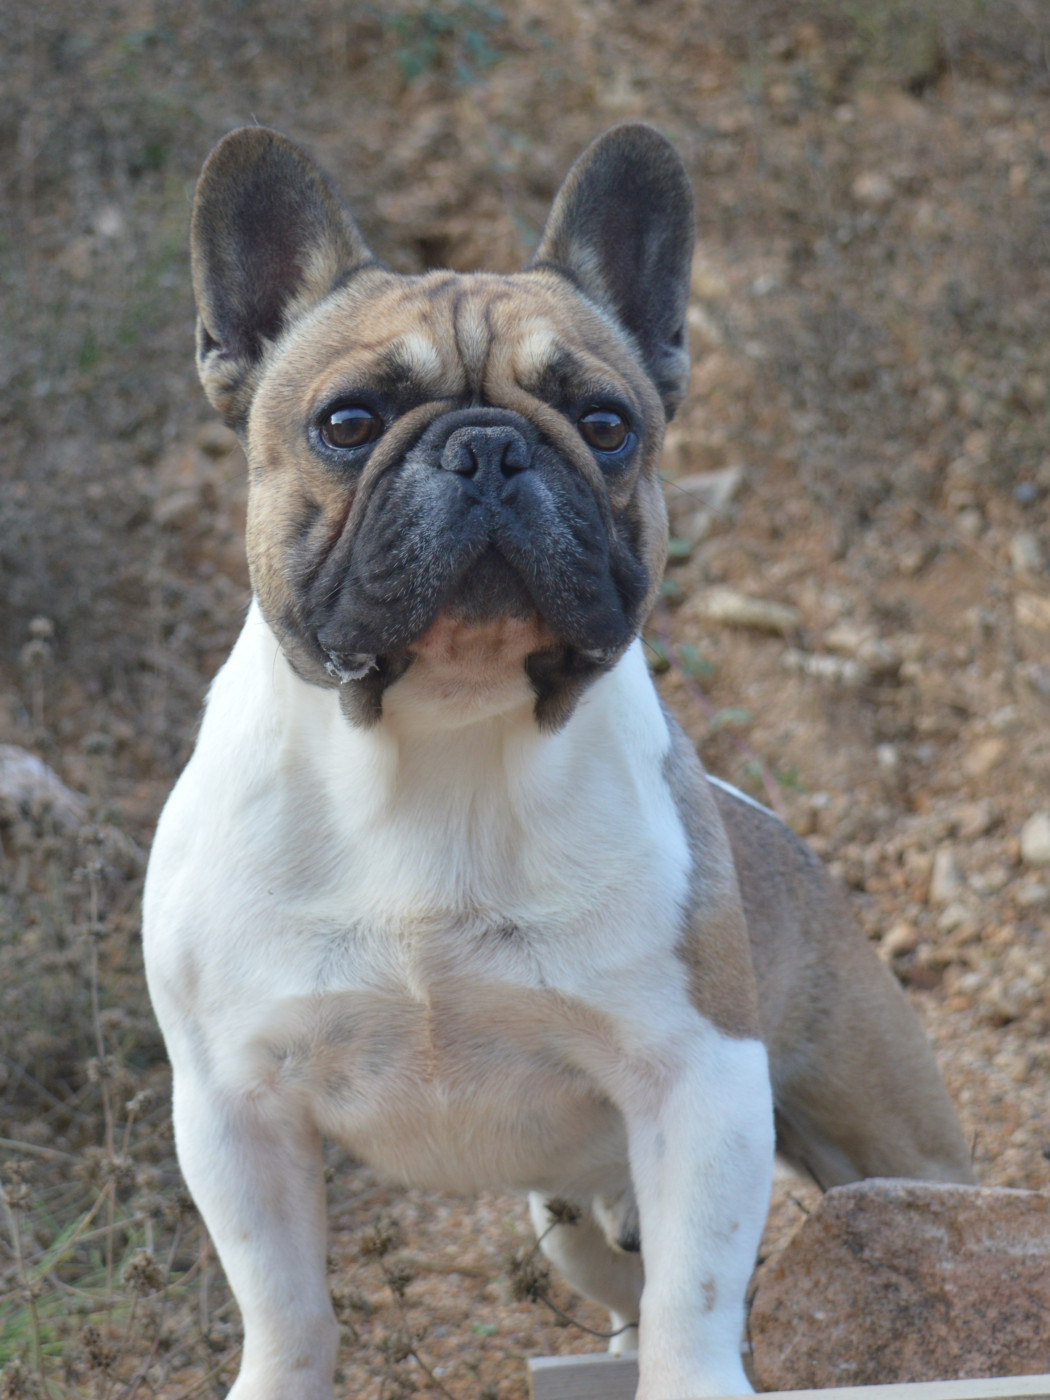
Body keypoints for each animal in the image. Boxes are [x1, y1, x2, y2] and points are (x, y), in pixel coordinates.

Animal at [143, 123, 975, 1400]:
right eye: (347, 422)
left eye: (606, 423)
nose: (489, 447)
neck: (442, 740)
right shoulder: (236, 1109)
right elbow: (284, 1304)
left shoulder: (702, 1083)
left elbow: (696, 1296)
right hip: (571, 1215)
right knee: (613, 1273)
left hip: (888, 1136)